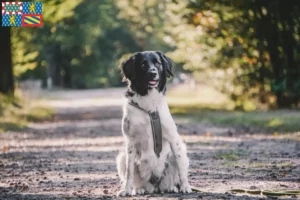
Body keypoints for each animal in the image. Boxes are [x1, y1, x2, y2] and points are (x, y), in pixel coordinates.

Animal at [116, 50, 191, 196]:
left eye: (158, 63)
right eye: (143, 64)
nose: (153, 73)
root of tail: (155, 185)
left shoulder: (174, 139)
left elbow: (181, 169)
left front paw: (185, 186)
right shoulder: (131, 141)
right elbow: (129, 172)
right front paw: (127, 190)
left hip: (180, 152)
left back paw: (172, 187)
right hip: (122, 156)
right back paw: (139, 189)